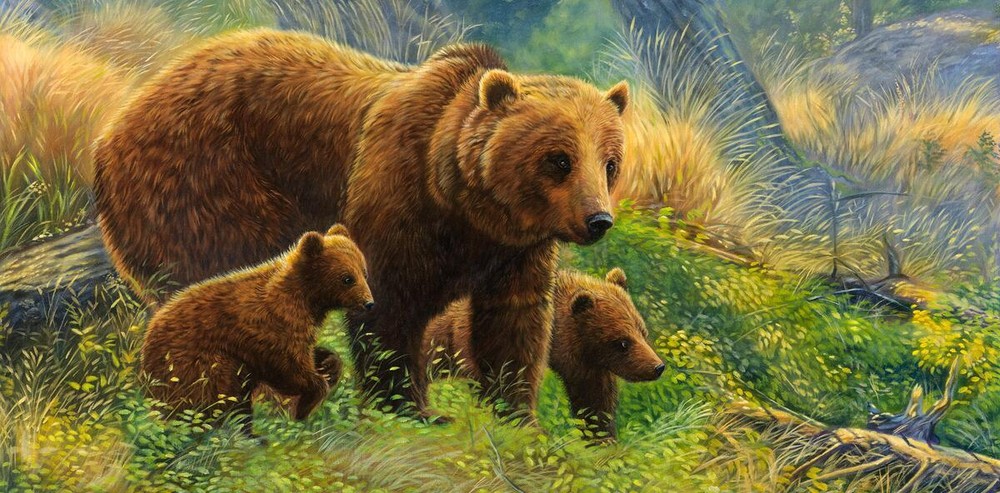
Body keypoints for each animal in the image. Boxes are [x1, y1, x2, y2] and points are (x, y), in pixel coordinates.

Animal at [140, 225, 374, 436]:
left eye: (364, 272)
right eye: (347, 278)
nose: (369, 303)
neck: (306, 299)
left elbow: (308, 355)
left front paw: (328, 364)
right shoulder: (267, 325)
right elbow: (286, 366)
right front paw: (306, 403)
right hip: (195, 365)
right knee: (219, 395)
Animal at [424, 267, 664, 440]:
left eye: (643, 332)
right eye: (622, 342)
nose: (657, 367)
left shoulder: (585, 364)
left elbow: (594, 398)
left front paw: (602, 437)